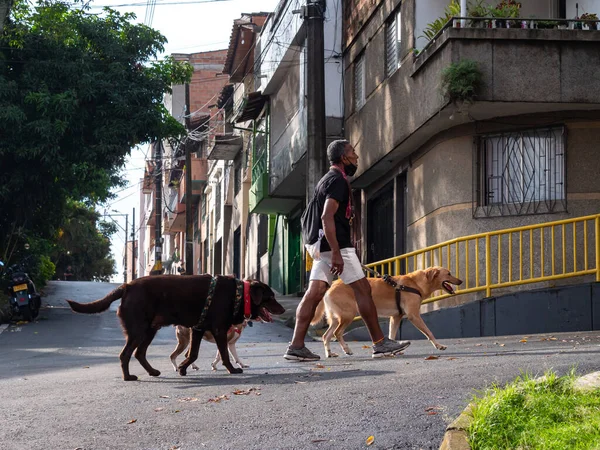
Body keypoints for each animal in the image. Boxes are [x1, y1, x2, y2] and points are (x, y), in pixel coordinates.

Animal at [67, 274, 282, 380]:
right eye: (270, 297)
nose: (282, 309)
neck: (239, 294)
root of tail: (126, 286)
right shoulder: (219, 330)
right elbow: (224, 355)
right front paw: (232, 370)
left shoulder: (197, 329)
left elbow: (193, 354)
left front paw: (183, 368)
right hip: (138, 329)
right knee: (125, 354)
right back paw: (128, 377)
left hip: (150, 330)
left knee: (139, 353)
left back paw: (153, 372)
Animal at [314, 266, 464, 356]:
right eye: (449, 274)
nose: (461, 281)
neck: (416, 284)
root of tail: (331, 285)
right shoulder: (414, 315)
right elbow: (429, 332)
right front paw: (438, 345)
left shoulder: (396, 317)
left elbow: (392, 334)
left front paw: (393, 350)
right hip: (348, 315)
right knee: (337, 333)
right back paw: (346, 349)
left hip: (336, 318)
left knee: (326, 335)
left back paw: (329, 353)